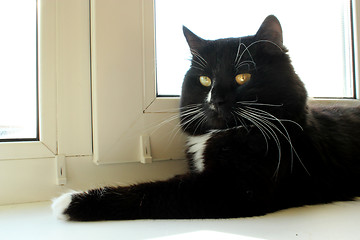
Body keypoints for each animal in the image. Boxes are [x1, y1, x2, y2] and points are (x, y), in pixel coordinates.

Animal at [51, 15, 360, 221]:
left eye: (242, 77)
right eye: (204, 79)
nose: (215, 100)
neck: (225, 133)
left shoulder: (233, 190)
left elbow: (155, 193)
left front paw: (69, 202)